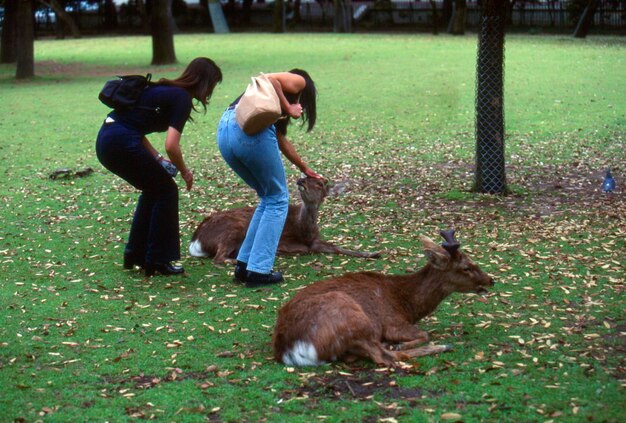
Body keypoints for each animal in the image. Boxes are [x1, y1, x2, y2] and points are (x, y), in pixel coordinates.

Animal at [186, 176, 380, 264]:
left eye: (320, 184)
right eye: (306, 176)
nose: (301, 180)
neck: (304, 231)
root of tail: (196, 241)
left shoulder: (316, 240)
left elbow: (336, 247)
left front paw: (374, 253)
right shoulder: (283, 240)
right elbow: (302, 249)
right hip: (233, 228)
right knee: (218, 258)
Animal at [272, 232, 492, 368]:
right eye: (466, 267)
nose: (491, 279)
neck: (407, 304)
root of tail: (290, 349)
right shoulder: (392, 322)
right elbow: (424, 334)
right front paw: (401, 344)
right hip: (354, 318)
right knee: (384, 357)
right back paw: (442, 346)